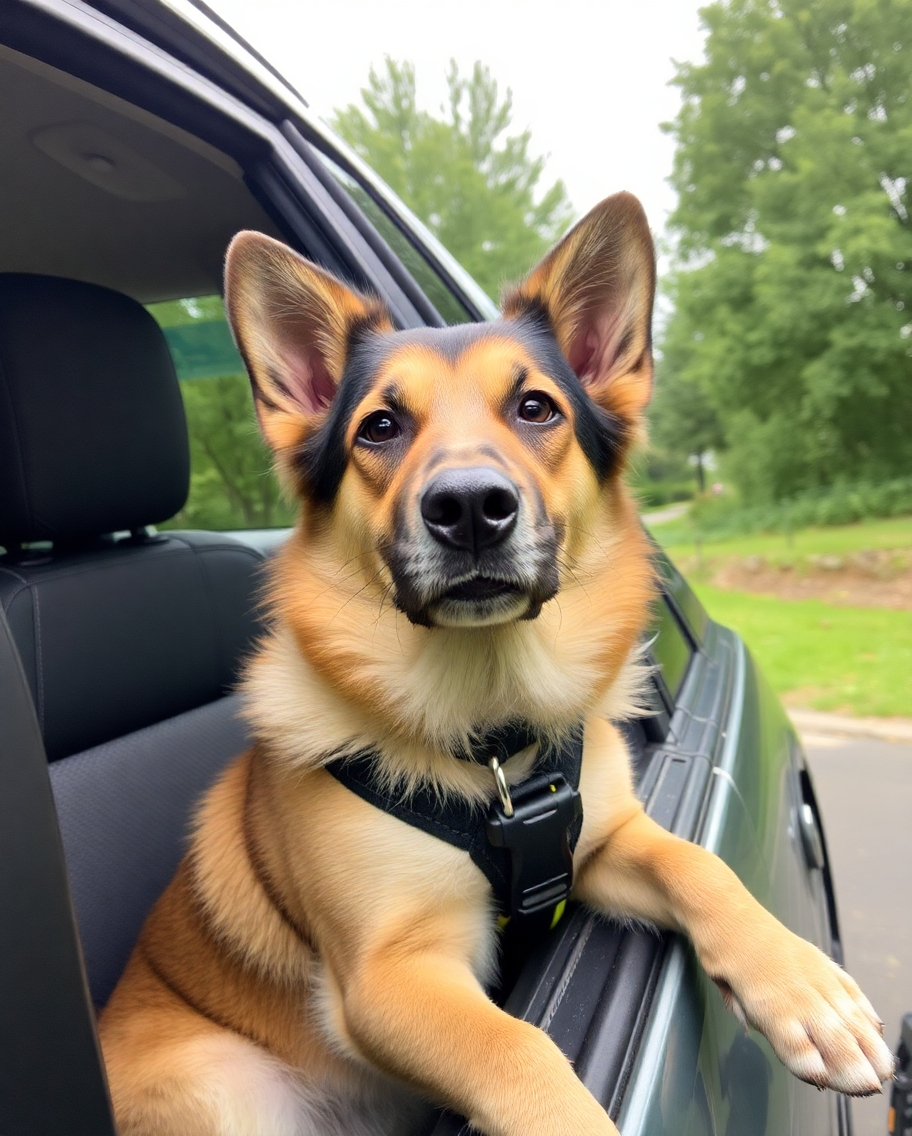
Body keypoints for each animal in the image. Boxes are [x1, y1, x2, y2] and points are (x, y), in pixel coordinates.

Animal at [98, 190, 890, 1131]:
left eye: (536, 409)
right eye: (380, 426)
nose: (471, 508)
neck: (491, 737)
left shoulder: (603, 847)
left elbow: (697, 865)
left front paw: (804, 987)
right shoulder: (389, 978)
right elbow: (520, 1048)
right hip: (223, 1086)